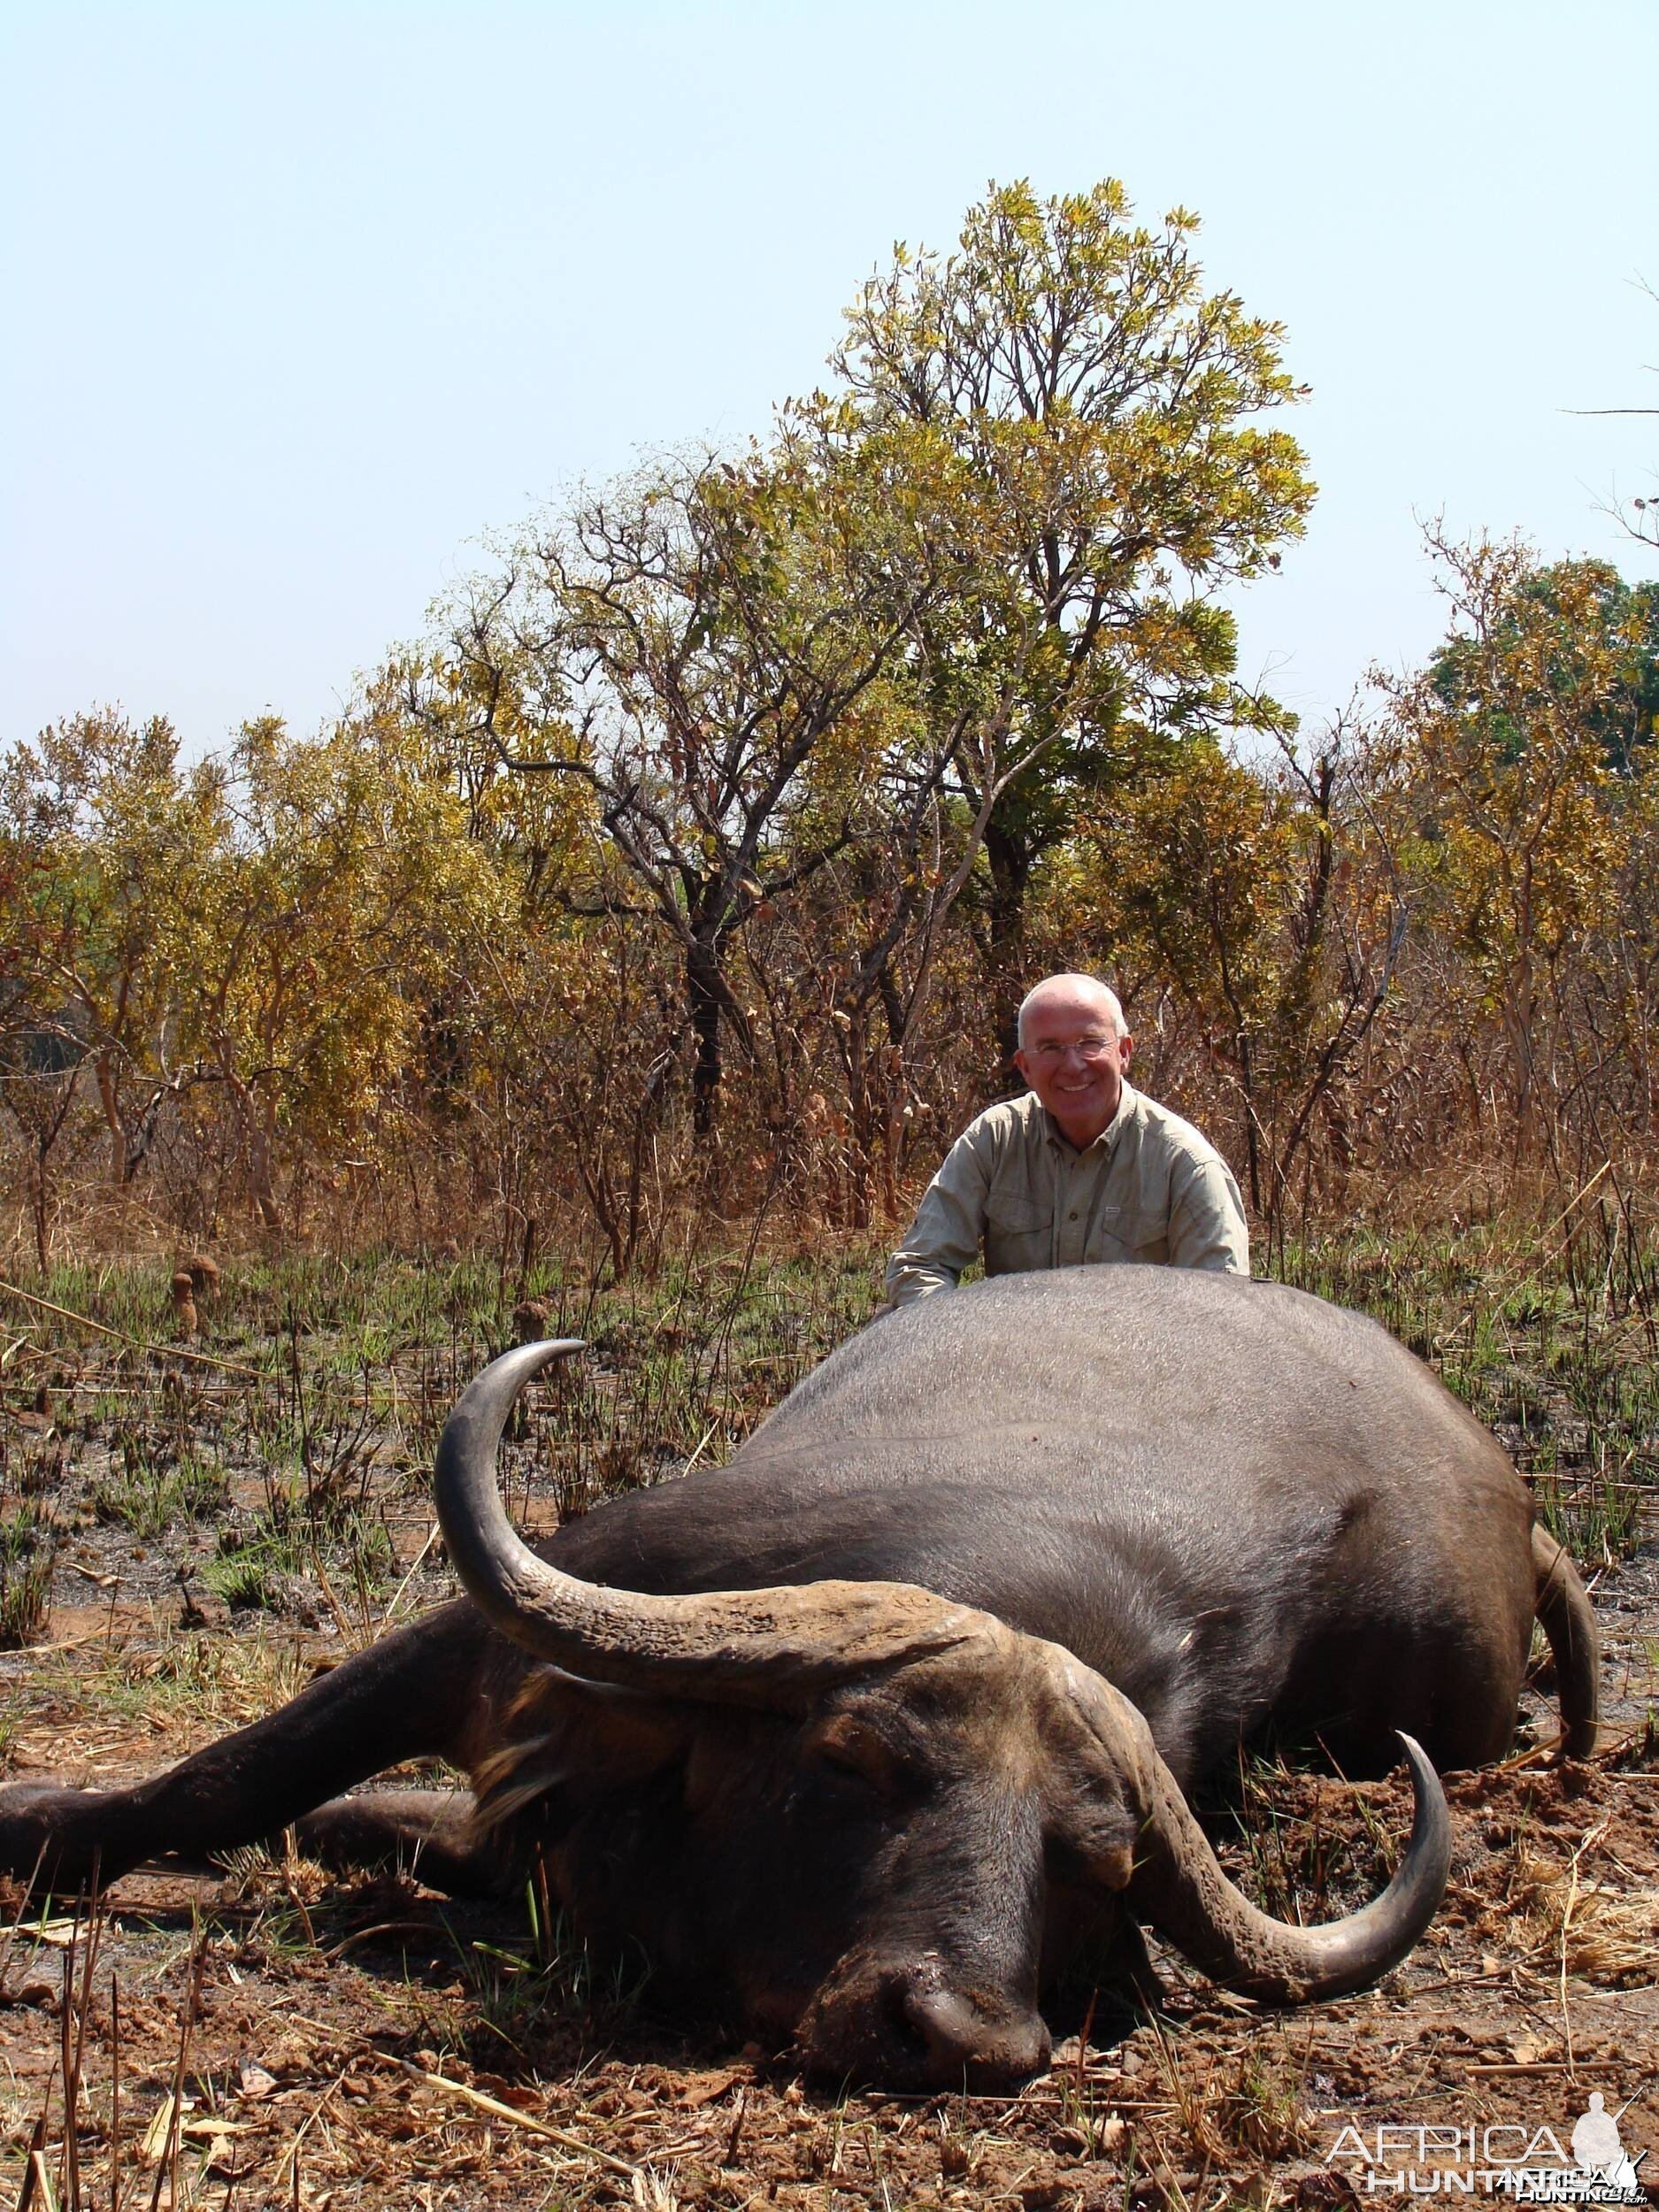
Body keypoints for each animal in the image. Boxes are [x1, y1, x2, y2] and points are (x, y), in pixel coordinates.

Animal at [3, 1274, 1610, 2079]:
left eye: (1088, 1862)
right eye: (862, 1756)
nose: (956, 2035)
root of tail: (1508, 1493)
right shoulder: (479, 1636)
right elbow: (220, 1778)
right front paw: (37, 1825)